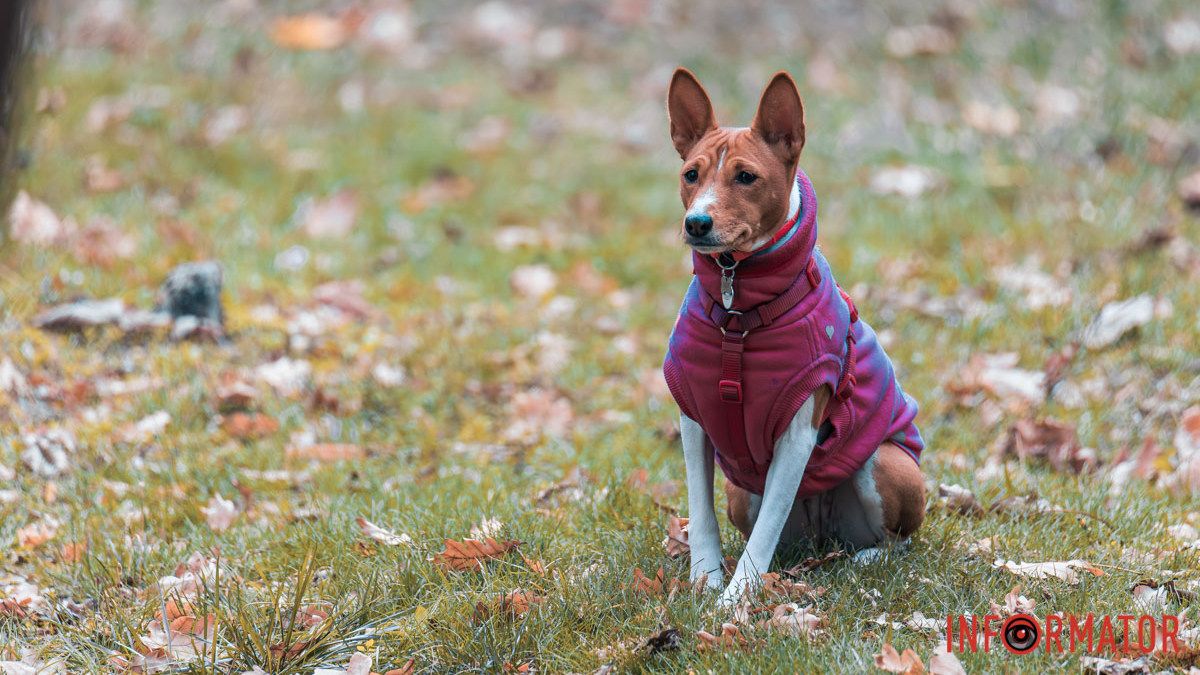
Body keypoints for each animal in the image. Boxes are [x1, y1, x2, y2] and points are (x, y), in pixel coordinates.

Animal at [657, 68, 926, 605]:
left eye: (746, 177)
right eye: (691, 174)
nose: (696, 222)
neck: (738, 314)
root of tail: (822, 535)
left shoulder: (798, 432)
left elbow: (762, 534)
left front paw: (735, 601)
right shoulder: (694, 417)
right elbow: (701, 512)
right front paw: (706, 579)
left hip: (886, 461)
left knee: (894, 542)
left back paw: (864, 560)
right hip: (742, 492)